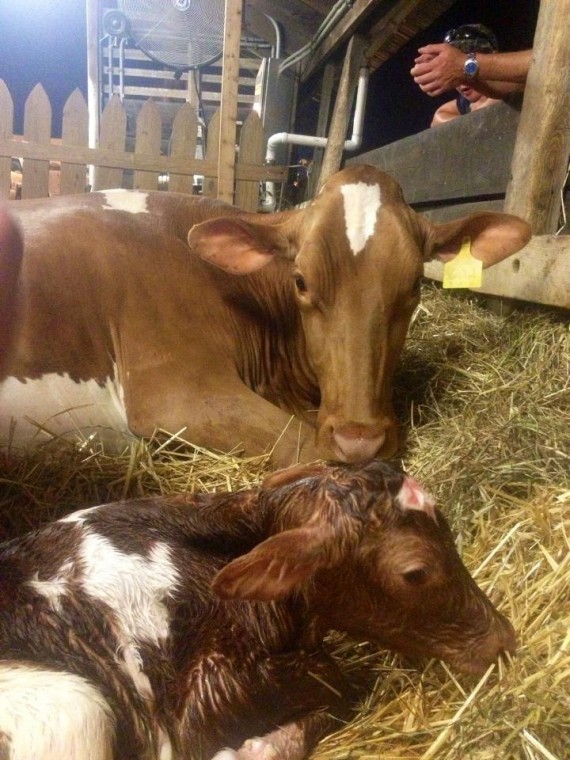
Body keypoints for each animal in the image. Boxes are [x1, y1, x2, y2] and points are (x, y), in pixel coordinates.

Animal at [0, 459, 516, 760]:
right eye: (415, 572)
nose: (503, 638)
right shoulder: (205, 705)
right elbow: (339, 686)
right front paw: (256, 747)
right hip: (71, 707)